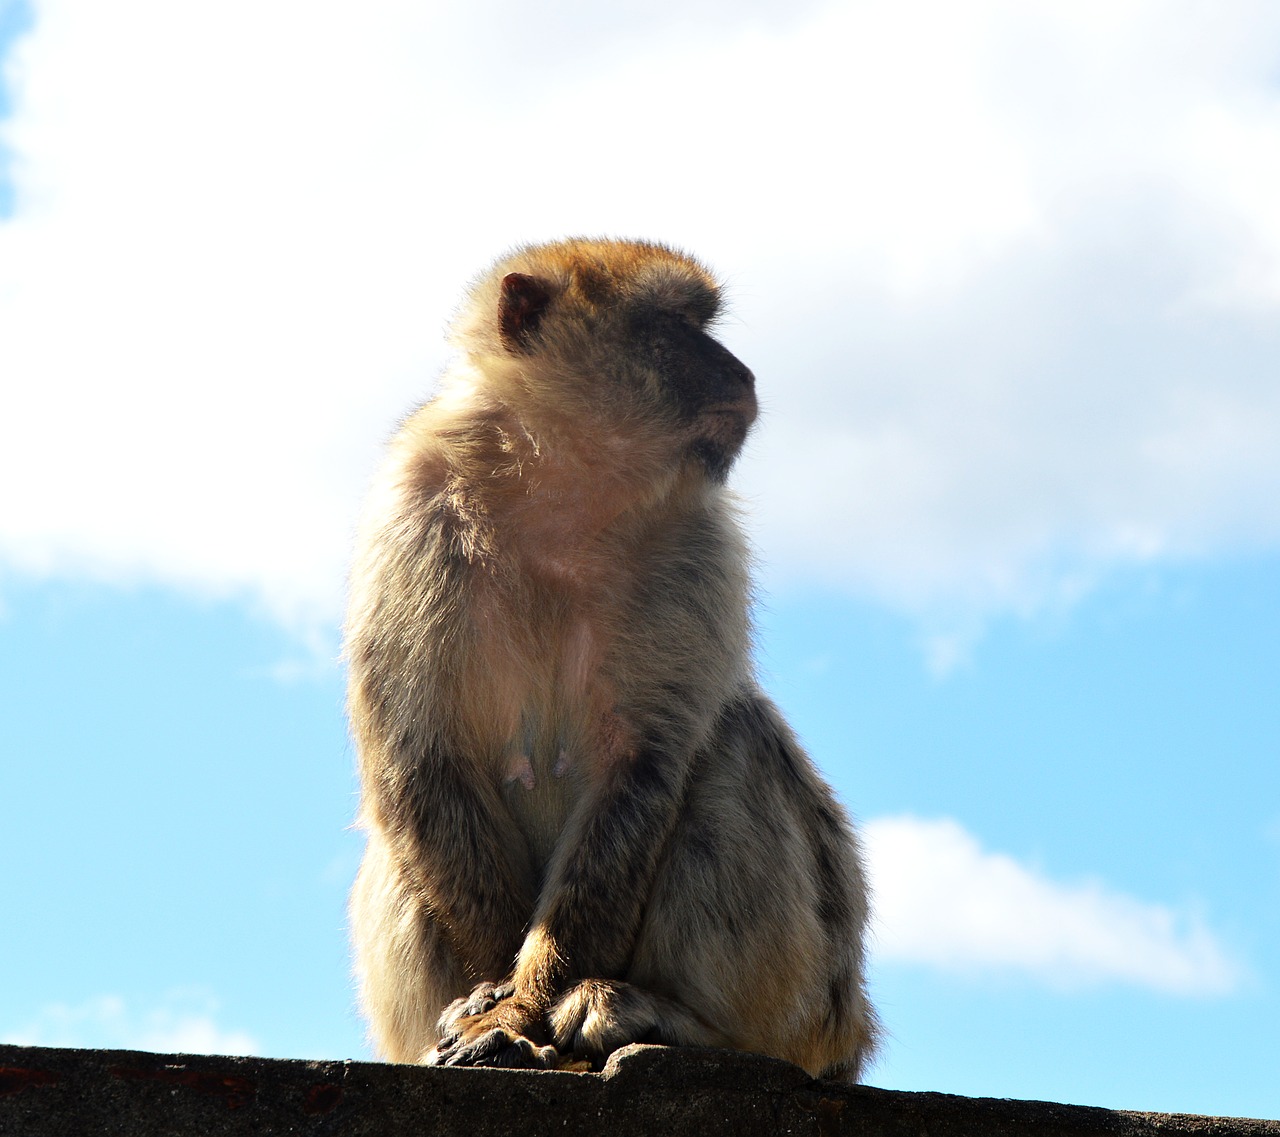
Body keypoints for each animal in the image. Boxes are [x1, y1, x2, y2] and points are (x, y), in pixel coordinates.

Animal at [345, 235, 875, 1080]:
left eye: (704, 323)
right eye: (675, 326)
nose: (743, 372)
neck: (560, 493)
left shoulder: (697, 542)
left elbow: (642, 767)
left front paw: (517, 1006)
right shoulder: (412, 508)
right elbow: (422, 760)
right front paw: (492, 997)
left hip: (816, 1000)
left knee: (733, 743)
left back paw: (668, 1019)